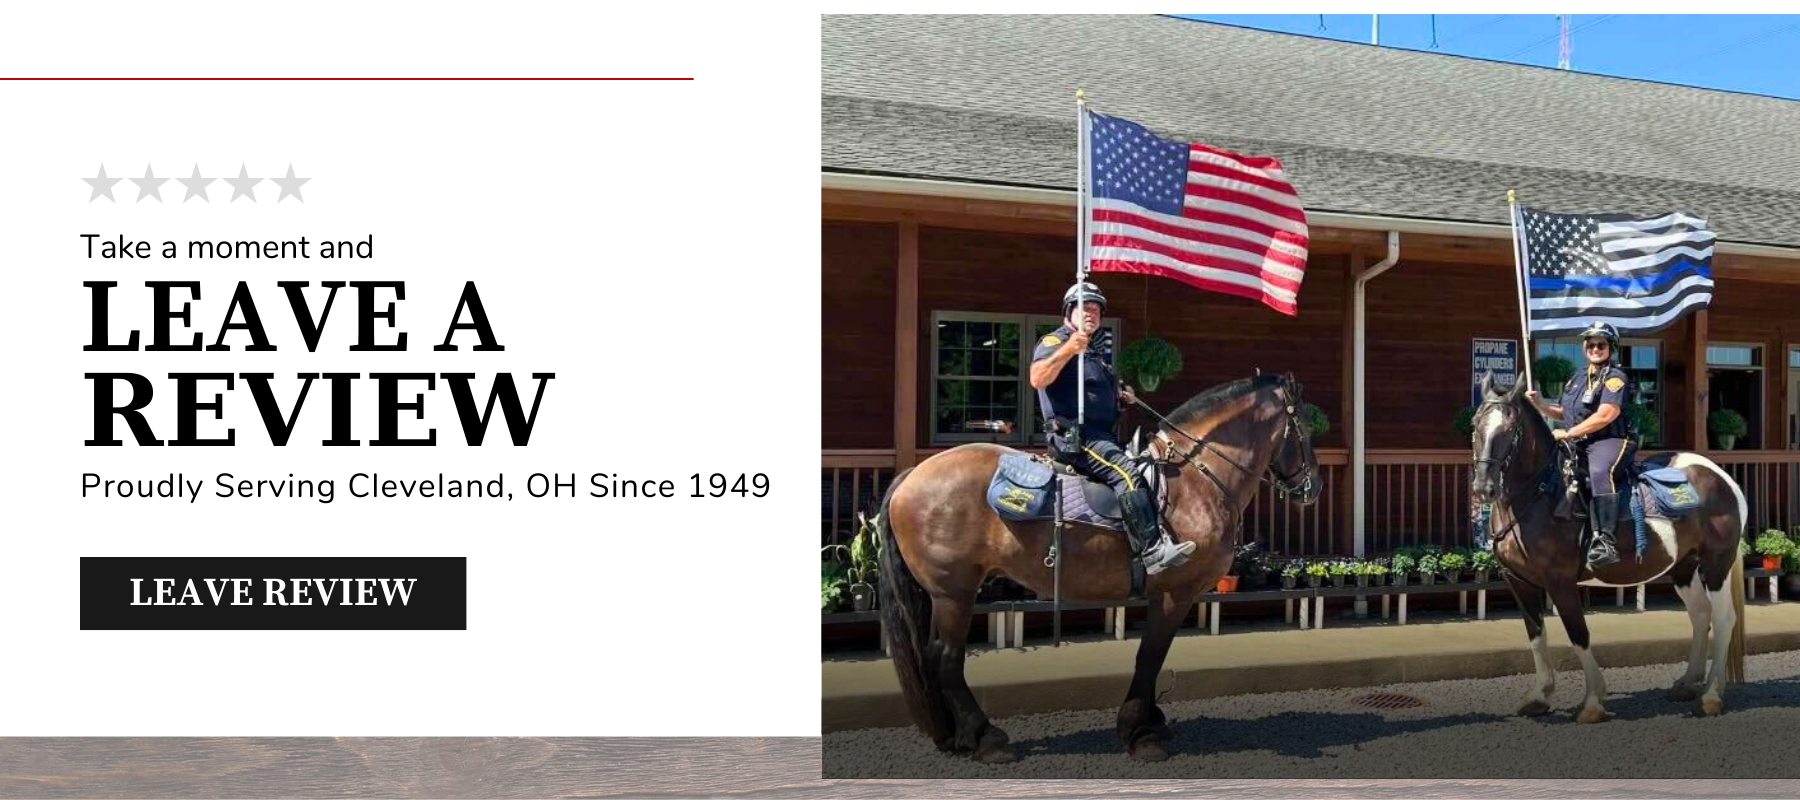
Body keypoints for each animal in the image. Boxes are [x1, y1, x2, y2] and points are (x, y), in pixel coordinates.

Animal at [874, 374, 1324, 763]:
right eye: (1303, 425)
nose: (1312, 487)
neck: (1195, 481)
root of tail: (913, 474)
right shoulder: (1175, 593)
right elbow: (1151, 655)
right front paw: (1139, 732)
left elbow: (1153, 657)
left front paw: (1150, 722)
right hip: (955, 593)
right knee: (947, 658)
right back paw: (986, 738)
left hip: (943, 595)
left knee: (935, 657)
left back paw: (958, 734)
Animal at [1461, 371, 1742, 720]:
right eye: (1475, 424)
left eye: (1510, 429)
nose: (1483, 488)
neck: (1540, 493)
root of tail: (1721, 478)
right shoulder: (1519, 580)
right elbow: (1536, 634)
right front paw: (1540, 696)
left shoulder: (1559, 580)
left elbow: (1578, 633)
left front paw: (1593, 700)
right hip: (1684, 568)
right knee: (1701, 615)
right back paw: (1688, 683)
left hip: (1716, 566)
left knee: (1723, 619)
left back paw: (1711, 695)